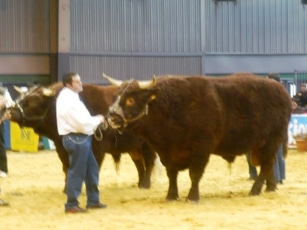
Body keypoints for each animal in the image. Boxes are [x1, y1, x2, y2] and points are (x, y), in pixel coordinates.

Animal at [4, 83, 158, 190]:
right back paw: (140, 183)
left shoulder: (98, 148)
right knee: (139, 163)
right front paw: (67, 188)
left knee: (148, 161)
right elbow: (67, 168)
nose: (10, 111)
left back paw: (145, 184)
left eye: (34, 100)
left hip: (147, 145)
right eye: (21, 97)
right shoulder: (62, 149)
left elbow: (93, 168)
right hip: (134, 147)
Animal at [105, 73, 294, 201]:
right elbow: (171, 174)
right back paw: (270, 187)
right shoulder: (167, 152)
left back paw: (255, 190)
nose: (111, 117)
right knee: (269, 165)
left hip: (270, 143)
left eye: (130, 99)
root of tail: (281, 90)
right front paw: (171, 195)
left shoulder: (201, 148)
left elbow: (195, 174)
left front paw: (192, 196)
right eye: (115, 97)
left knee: (266, 165)